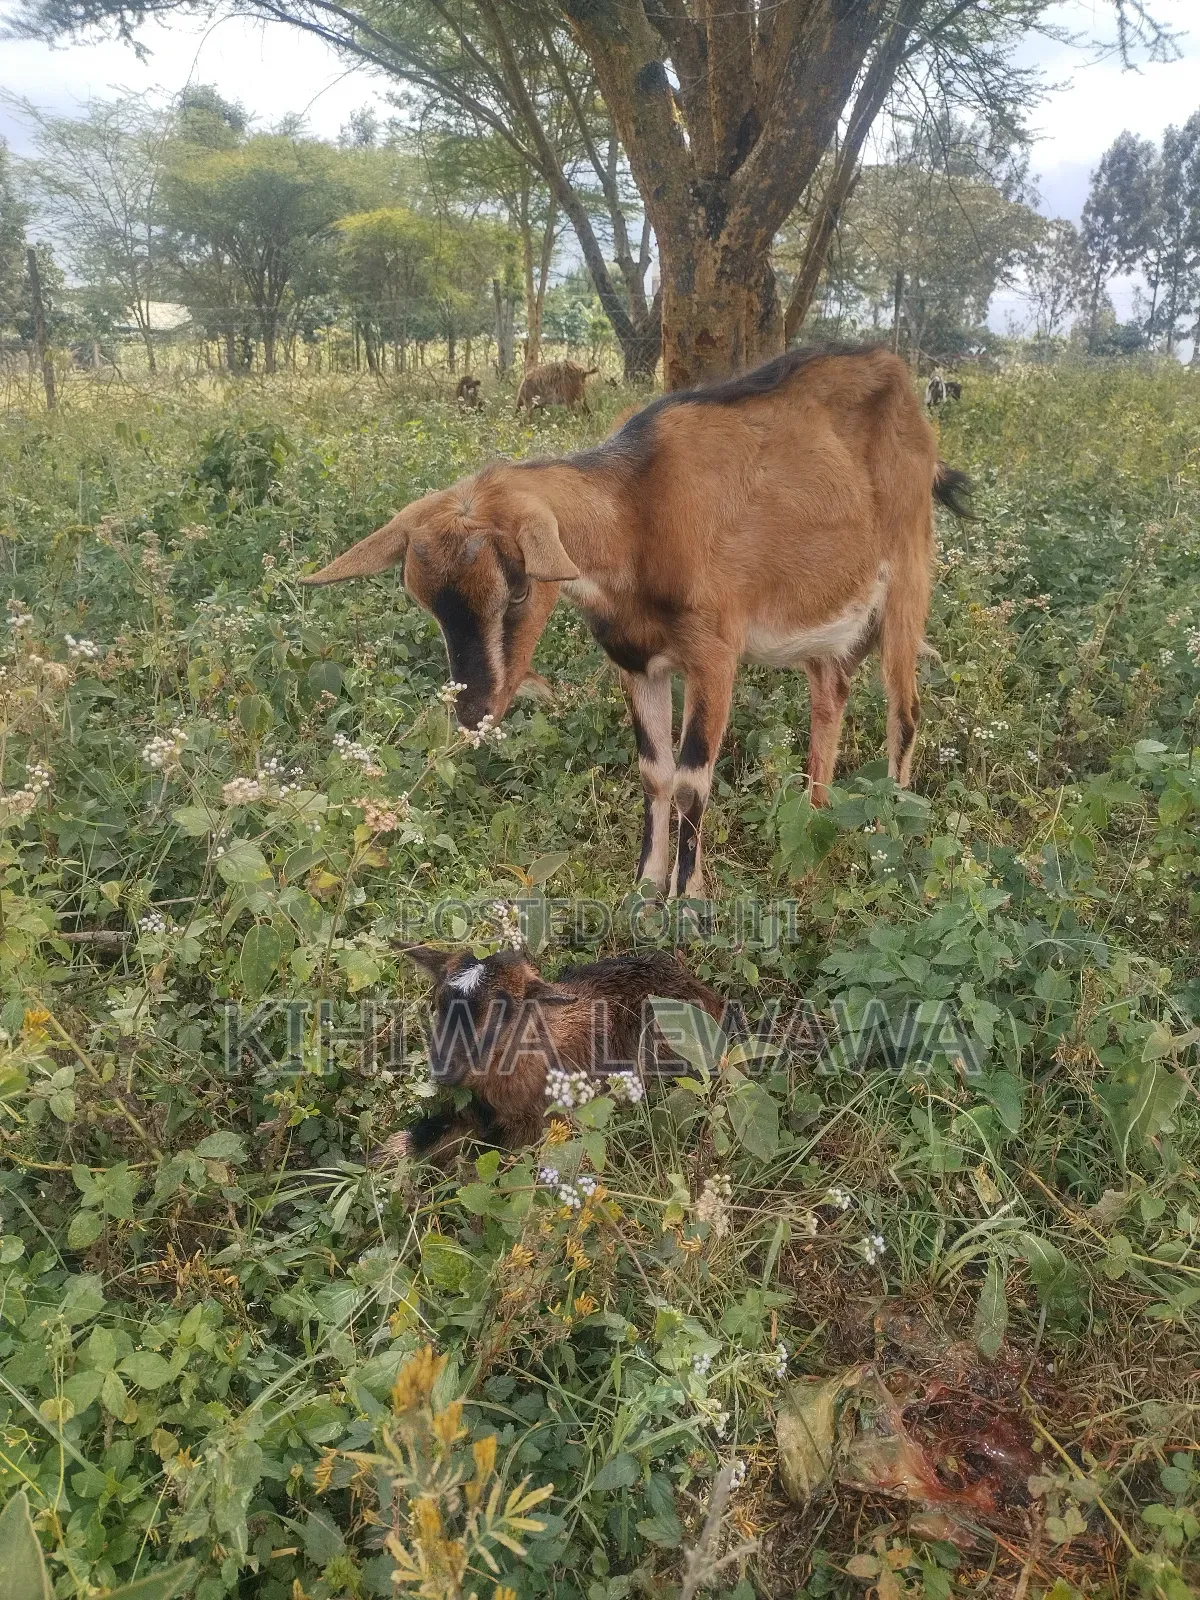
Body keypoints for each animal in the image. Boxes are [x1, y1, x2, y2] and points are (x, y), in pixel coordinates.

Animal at [302, 343, 971, 897]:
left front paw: (689, 902)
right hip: (827, 622)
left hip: (908, 579)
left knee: (905, 711)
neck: (638, 512)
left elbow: (693, 778)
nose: (471, 712)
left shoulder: (714, 656)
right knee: (830, 694)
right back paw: (818, 817)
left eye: (517, 589)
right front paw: (644, 889)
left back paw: (888, 837)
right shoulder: (637, 660)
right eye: (424, 601)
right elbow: (655, 771)